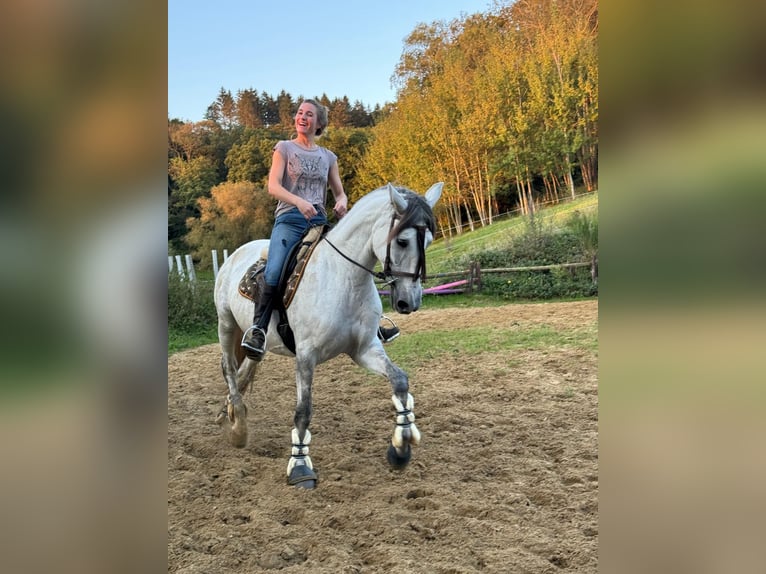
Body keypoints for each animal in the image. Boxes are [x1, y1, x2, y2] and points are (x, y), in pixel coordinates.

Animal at [213, 182, 443, 488]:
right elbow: (303, 412)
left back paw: (228, 412)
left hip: (254, 343)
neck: (343, 277)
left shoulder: (364, 349)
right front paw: (300, 467)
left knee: (244, 370)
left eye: (428, 241)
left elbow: (400, 380)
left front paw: (401, 446)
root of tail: (235, 255)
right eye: (403, 241)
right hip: (226, 324)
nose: (411, 302)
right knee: (228, 368)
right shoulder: (306, 357)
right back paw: (238, 425)